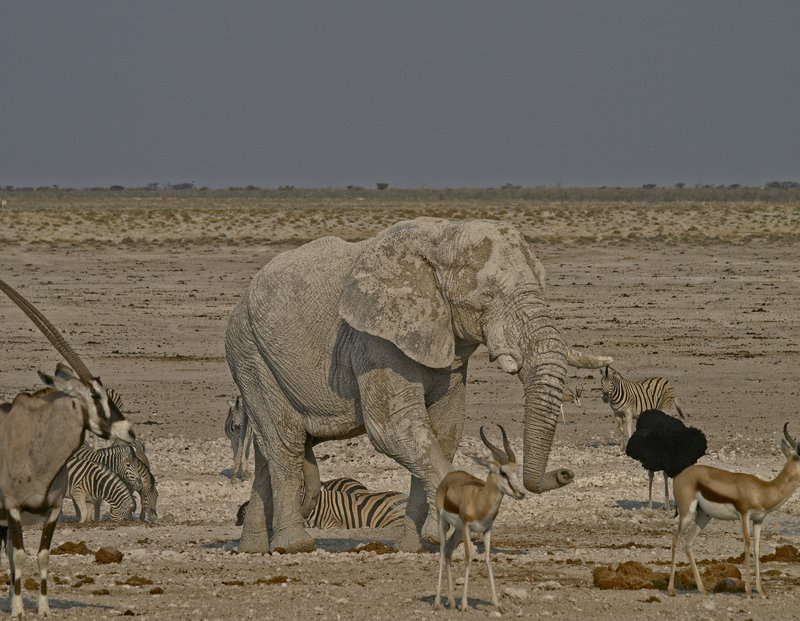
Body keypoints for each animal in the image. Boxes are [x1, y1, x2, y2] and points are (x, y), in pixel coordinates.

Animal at [225, 217, 611, 553]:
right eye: (486, 297)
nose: (564, 473)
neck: (443, 238)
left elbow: (443, 431)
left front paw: (415, 546)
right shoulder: (375, 339)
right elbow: (395, 429)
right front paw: (454, 533)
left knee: (267, 452)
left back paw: (253, 550)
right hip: (249, 352)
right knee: (285, 442)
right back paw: (295, 546)